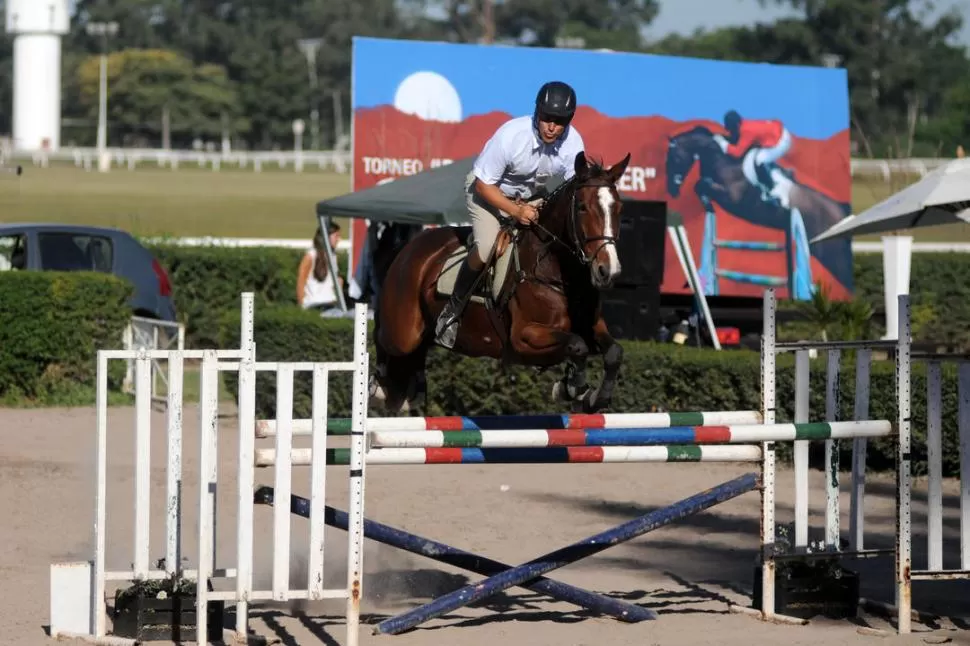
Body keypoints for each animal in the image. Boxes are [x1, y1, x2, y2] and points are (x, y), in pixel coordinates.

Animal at [368, 151, 628, 416]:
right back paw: (379, 387)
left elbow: (613, 352)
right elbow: (577, 345)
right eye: (582, 207)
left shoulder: (592, 326)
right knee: (382, 336)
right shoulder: (524, 336)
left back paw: (411, 390)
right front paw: (575, 389)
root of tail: (408, 248)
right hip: (403, 333)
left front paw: (592, 397)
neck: (559, 272)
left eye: (618, 208)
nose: (608, 271)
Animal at [660, 124, 852, 296]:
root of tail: (841, 210)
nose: (671, 190)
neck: (721, 163)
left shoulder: (731, 196)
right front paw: (708, 205)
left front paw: (707, 203)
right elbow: (700, 185)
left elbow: (701, 184)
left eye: (673, 159)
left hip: (833, 253)